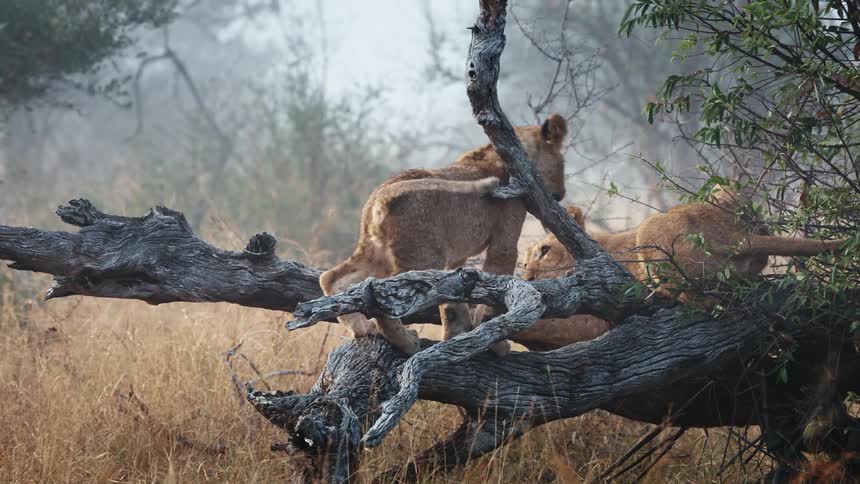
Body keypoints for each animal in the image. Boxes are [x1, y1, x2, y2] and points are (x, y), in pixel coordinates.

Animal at [320, 114, 569, 355]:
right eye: (562, 162)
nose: (562, 193)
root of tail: (380, 196)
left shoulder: (457, 256)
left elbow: (452, 303)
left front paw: (456, 335)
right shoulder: (504, 242)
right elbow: (492, 299)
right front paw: (496, 345)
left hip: (376, 252)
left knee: (332, 278)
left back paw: (364, 328)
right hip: (421, 258)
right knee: (383, 295)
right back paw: (407, 342)